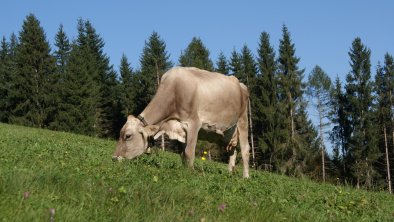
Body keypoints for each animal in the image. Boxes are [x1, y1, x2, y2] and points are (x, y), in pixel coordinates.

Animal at [112, 67, 251, 178]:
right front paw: (184, 171)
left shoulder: (193, 123)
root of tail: (241, 84)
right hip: (229, 132)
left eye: (128, 136)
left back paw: (246, 177)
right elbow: (182, 154)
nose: (114, 158)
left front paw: (191, 173)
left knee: (245, 149)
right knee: (233, 150)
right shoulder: (179, 130)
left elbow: (189, 152)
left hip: (242, 120)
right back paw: (229, 173)